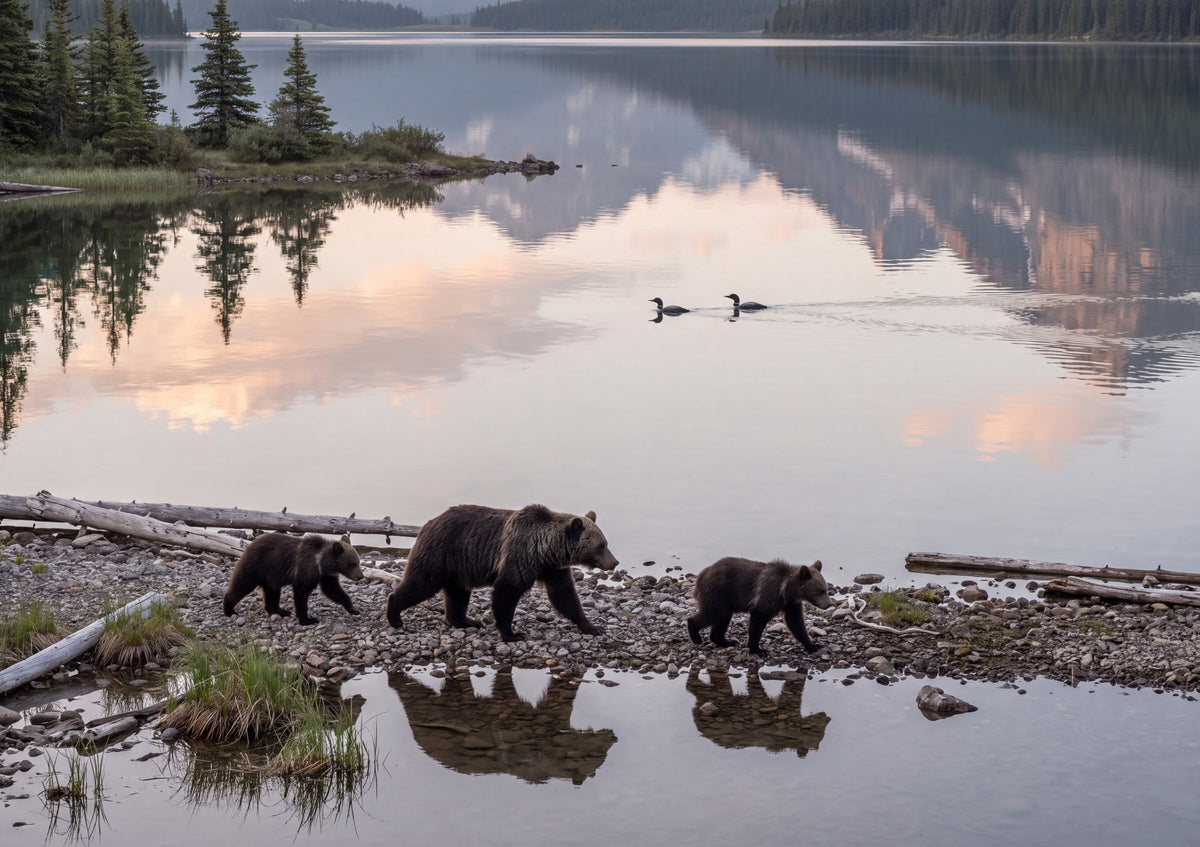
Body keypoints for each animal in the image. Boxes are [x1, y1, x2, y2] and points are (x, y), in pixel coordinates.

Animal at [223, 532, 364, 626]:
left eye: (358, 562)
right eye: (351, 564)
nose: (360, 576)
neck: (321, 563)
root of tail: (249, 544)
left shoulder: (326, 576)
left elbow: (333, 590)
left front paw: (353, 609)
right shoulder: (305, 569)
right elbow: (301, 592)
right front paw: (308, 619)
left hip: (271, 575)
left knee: (272, 592)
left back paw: (281, 611)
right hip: (256, 566)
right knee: (241, 584)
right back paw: (229, 610)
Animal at [385, 503, 619, 641]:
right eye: (601, 545)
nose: (615, 562)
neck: (545, 549)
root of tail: (426, 524)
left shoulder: (553, 569)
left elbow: (564, 596)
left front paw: (592, 626)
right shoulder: (519, 556)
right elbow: (506, 592)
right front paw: (512, 633)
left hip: (458, 567)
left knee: (457, 594)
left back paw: (466, 621)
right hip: (440, 554)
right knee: (421, 583)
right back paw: (395, 616)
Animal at [687, 557, 834, 655]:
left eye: (825, 589)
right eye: (820, 590)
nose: (829, 604)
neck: (786, 590)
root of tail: (701, 575)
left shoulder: (791, 604)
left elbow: (796, 624)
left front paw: (813, 646)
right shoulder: (768, 596)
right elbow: (758, 621)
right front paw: (757, 649)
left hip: (725, 600)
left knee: (722, 619)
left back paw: (727, 641)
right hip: (718, 593)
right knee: (714, 614)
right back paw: (696, 636)